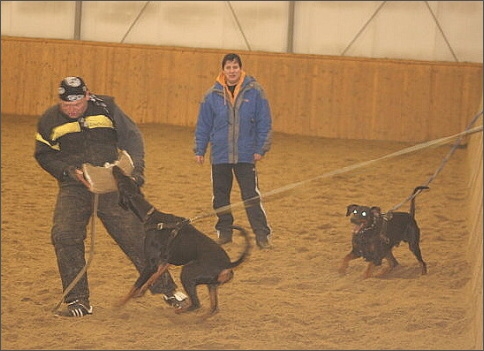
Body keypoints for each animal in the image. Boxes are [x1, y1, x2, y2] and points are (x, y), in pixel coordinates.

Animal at [111, 166, 251, 316]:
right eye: (128, 177)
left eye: (121, 181)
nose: (114, 167)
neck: (152, 218)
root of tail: (227, 264)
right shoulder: (165, 262)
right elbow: (154, 277)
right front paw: (142, 292)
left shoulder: (150, 264)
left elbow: (135, 285)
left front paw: (119, 303)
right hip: (211, 284)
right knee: (213, 307)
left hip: (187, 273)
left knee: (196, 304)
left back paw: (179, 312)